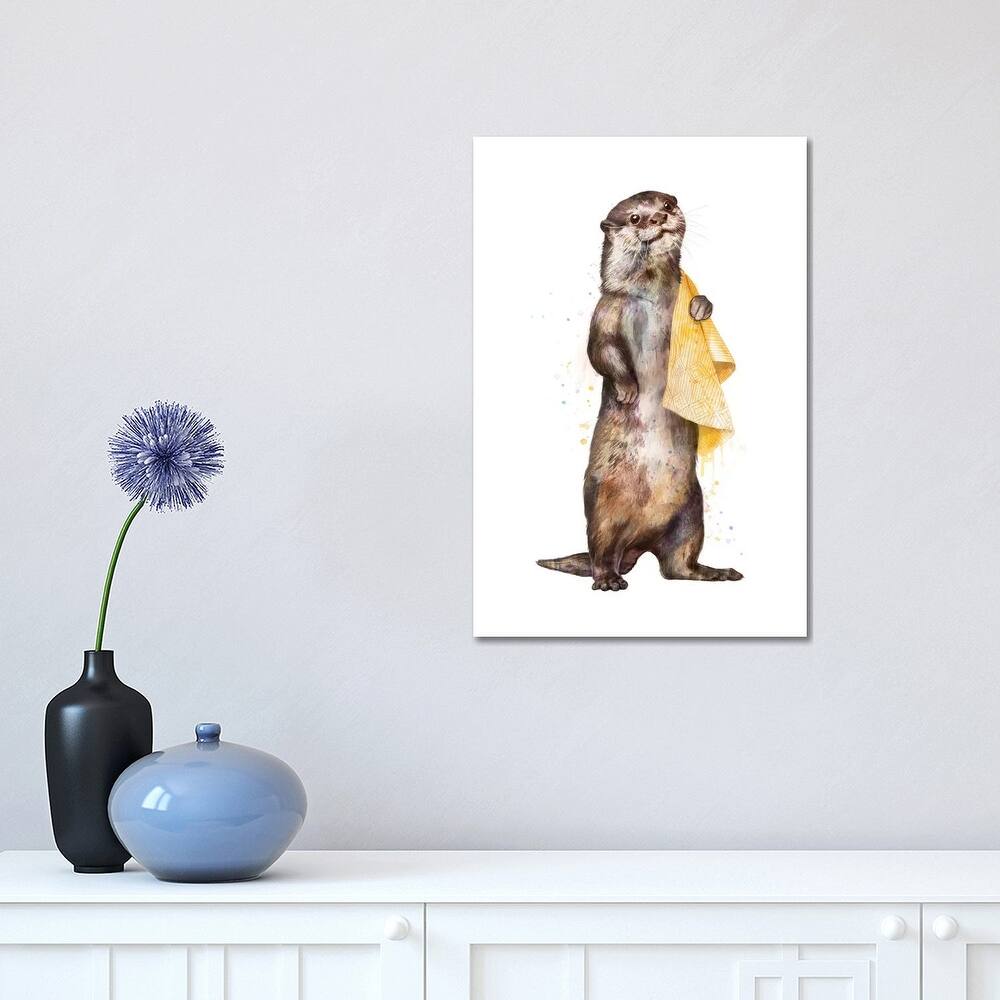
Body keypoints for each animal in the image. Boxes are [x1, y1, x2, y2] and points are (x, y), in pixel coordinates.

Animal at [538, 191, 742, 591]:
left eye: (668, 204)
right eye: (634, 217)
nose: (659, 218)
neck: (650, 297)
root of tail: (638, 543)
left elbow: (703, 304)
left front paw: (700, 305)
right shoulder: (606, 311)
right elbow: (601, 352)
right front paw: (628, 389)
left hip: (692, 515)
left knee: (677, 566)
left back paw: (715, 572)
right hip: (602, 508)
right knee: (601, 553)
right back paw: (608, 580)